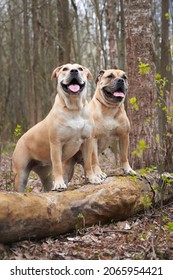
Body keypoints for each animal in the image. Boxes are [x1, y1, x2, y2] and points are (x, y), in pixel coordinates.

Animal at [12, 63, 94, 192]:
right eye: (65, 69)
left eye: (80, 68)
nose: (74, 71)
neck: (74, 108)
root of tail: (19, 140)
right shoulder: (56, 144)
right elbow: (57, 165)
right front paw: (60, 184)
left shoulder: (87, 141)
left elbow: (88, 162)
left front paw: (93, 178)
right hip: (20, 175)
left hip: (45, 173)